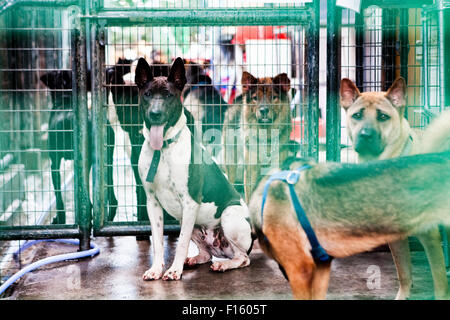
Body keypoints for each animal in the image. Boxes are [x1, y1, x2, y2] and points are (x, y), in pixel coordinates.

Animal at [40, 69, 118, 224]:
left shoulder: (54, 163)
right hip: (107, 161)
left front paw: (60, 218)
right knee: (112, 199)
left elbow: (58, 196)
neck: (64, 98)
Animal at [134, 57, 253, 280]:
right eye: (147, 94)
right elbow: (157, 242)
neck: (163, 149)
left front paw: (174, 270)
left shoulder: (189, 203)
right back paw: (195, 259)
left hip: (229, 215)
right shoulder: (152, 203)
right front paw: (156, 269)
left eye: (169, 95)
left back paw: (223, 264)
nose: (155, 114)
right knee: (206, 254)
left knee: (243, 258)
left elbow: (180, 244)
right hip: (192, 224)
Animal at [342, 78, 446, 300]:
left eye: (383, 116)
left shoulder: (431, 237)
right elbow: (404, 273)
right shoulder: (396, 237)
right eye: (357, 115)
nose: (365, 135)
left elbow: (440, 282)